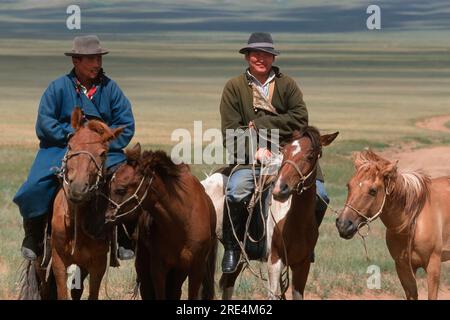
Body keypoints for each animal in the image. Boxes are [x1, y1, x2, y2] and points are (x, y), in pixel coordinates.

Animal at [105, 144, 218, 298]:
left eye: (121, 189)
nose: (106, 217)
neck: (182, 222)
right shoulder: (158, 268)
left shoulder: (196, 267)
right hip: (145, 266)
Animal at [203, 126, 338, 298]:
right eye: (285, 152)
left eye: (310, 155)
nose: (280, 189)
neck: (294, 220)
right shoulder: (274, 260)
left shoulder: (302, 264)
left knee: (228, 283)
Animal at [336, 150, 450, 300]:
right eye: (349, 185)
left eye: (373, 191)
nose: (343, 224)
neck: (413, 221)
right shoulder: (403, 268)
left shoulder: (433, 266)